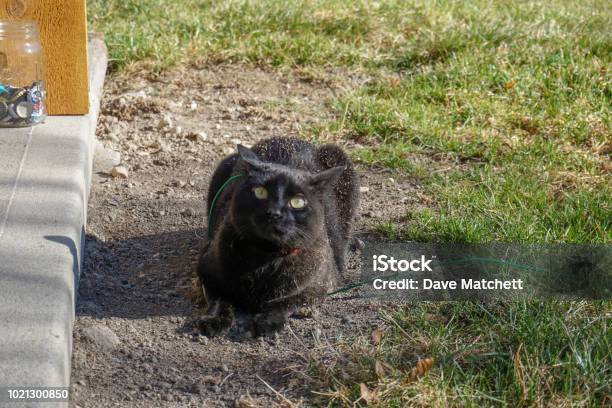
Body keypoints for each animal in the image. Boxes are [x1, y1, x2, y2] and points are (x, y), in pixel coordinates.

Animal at [196, 136, 358, 334]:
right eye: (260, 192)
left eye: (297, 202)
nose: (274, 213)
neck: (266, 257)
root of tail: (286, 138)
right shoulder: (206, 271)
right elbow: (219, 298)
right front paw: (214, 320)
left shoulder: (318, 287)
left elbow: (286, 301)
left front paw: (269, 321)